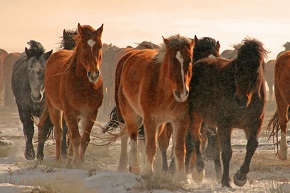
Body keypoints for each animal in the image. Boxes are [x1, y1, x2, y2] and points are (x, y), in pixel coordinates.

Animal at [44, 23, 104, 164]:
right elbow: (75, 137)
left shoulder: (91, 112)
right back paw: (58, 160)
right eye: (83, 46)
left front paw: (79, 162)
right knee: (59, 132)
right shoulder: (69, 111)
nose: (93, 74)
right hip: (54, 108)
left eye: (100, 46)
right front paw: (75, 163)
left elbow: (84, 139)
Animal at [114, 34, 194, 181]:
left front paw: (181, 177)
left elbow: (179, 148)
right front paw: (147, 172)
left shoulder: (181, 120)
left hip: (160, 122)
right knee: (131, 136)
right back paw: (133, 166)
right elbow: (151, 145)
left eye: (189, 61)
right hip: (127, 111)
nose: (182, 93)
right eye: (171, 61)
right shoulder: (150, 119)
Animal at [188, 38, 268, 188]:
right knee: (196, 138)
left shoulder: (254, 124)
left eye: (256, 69)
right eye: (238, 66)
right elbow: (226, 152)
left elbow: (252, 145)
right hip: (195, 115)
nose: (241, 99)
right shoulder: (225, 125)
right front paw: (226, 180)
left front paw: (240, 177)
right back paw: (199, 168)